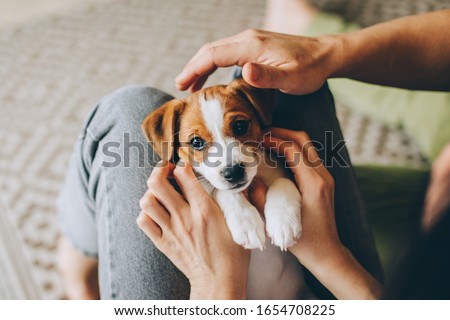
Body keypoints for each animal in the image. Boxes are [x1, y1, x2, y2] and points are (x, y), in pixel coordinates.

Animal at [142, 79, 306, 298]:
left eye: (240, 125)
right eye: (196, 142)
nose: (234, 172)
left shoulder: (283, 172)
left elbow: (282, 182)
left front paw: (283, 222)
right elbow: (221, 191)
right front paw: (245, 222)